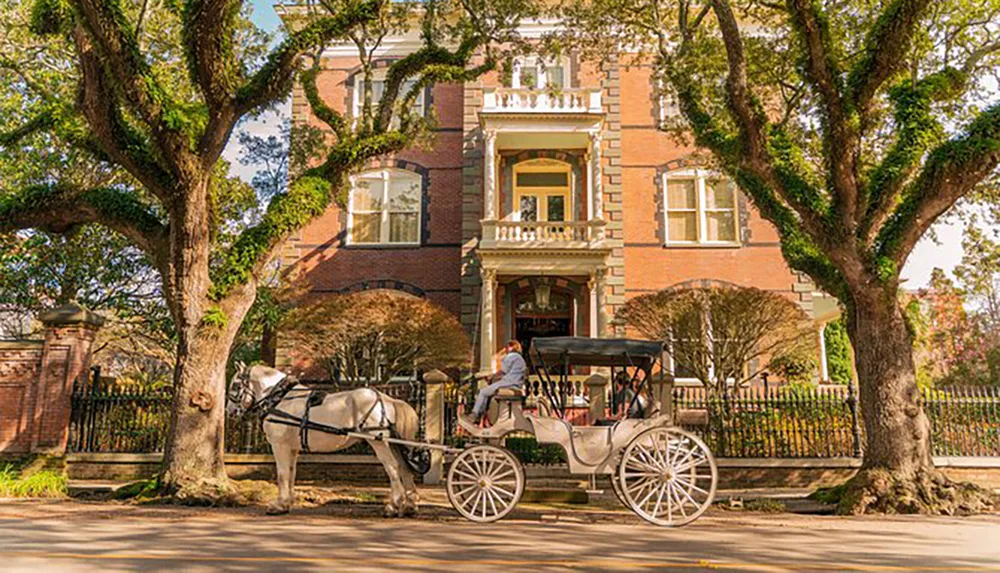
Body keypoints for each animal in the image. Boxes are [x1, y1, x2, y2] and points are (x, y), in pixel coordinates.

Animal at [228, 364, 422, 516]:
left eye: (235, 385)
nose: (229, 410)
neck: (280, 398)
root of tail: (386, 399)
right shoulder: (292, 448)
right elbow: (291, 473)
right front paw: (287, 503)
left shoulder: (279, 445)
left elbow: (282, 474)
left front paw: (279, 505)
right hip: (392, 443)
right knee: (404, 467)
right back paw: (409, 506)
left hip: (379, 442)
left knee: (392, 467)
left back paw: (393, 505)